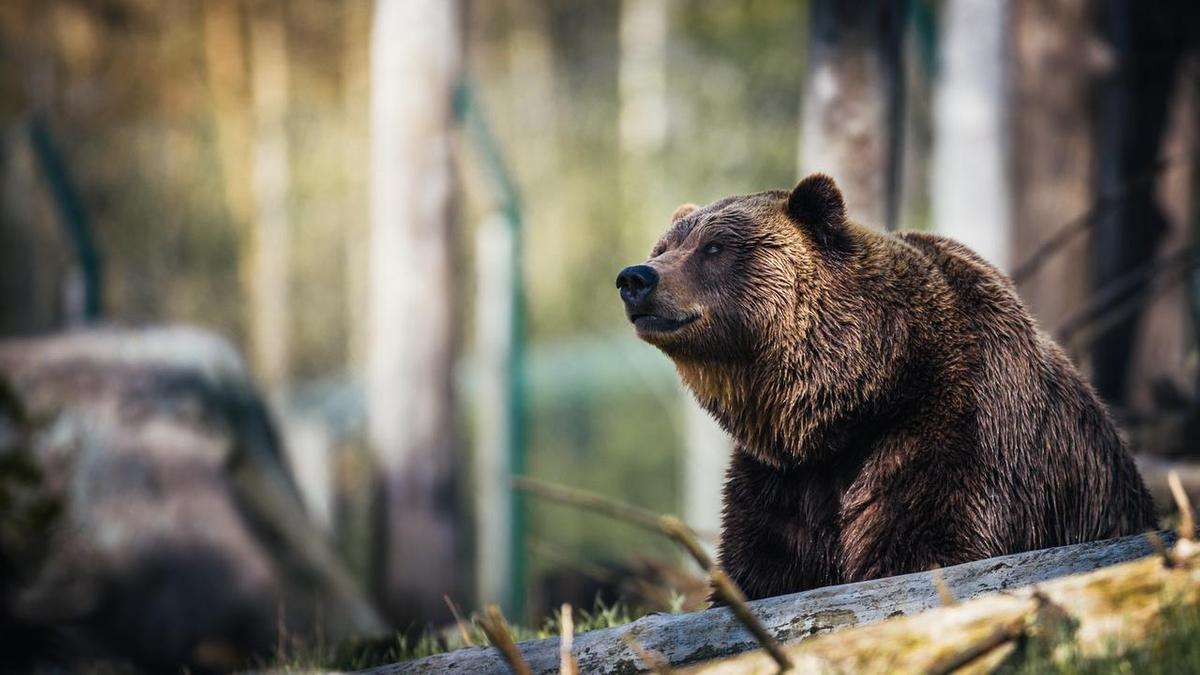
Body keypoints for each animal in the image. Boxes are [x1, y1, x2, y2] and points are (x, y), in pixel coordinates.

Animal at [614, 170, 1156, 595]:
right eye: (664, 246)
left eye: (715, 247)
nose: (636, 278)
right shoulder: (783, 480)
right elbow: (762, 566)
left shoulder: (955, 431)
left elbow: (929, 545)